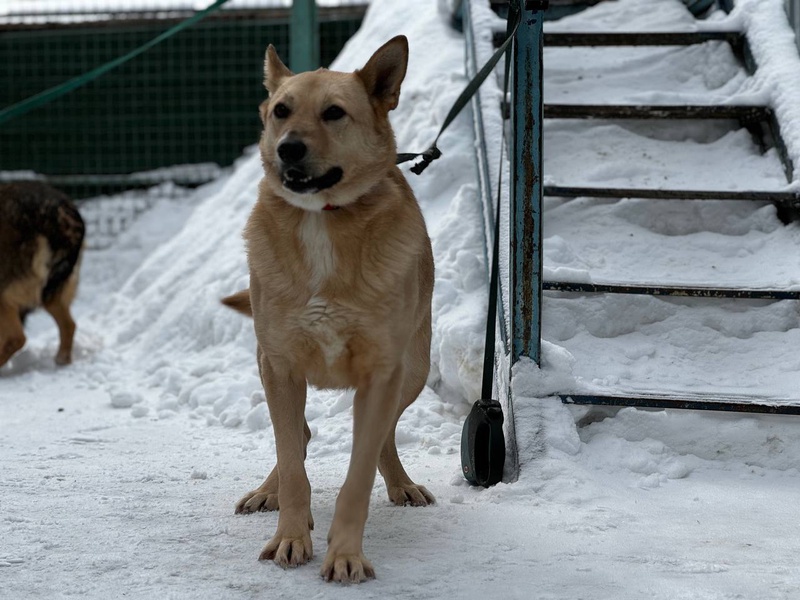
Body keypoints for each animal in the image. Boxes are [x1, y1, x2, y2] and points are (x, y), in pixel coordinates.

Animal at [222, 36, 438, 580]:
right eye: (281, 110)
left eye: (334, 112)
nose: (288, 148)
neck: (322, 222)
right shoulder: (278, 364)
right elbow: (292, 462)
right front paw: (291, 535)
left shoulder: (382, 373)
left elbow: (358, 475)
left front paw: (345, 554)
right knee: (295, 435)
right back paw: (268, 492)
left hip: (414, 370)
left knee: (383, 437)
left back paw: (400, 482)